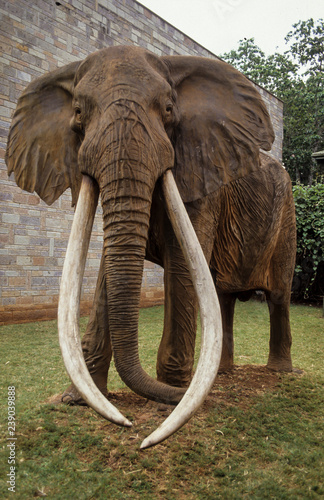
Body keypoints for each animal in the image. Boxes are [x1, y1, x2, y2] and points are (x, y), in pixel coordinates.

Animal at [5, 46, 296, 446]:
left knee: (278, 295)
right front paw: (76, 402)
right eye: (78, 113)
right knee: (222, 298)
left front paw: (169, 401)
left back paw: (276, 374)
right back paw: (221, 375)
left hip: (287, 216)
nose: (132, 428)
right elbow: (107, 269)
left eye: (170, 109)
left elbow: (181, 265)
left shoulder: (199, 176)